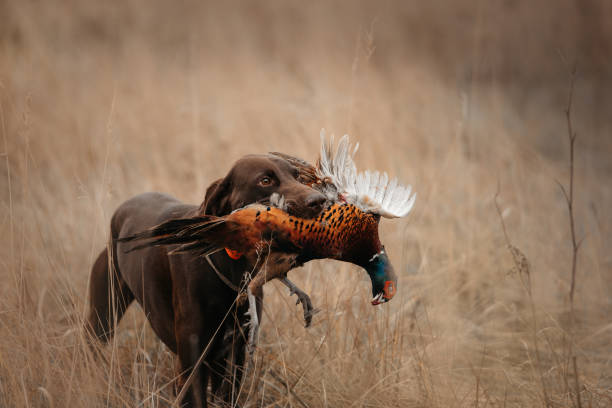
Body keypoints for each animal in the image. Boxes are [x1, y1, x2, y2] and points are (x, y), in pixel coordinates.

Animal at [85, 154, 328, 408]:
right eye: (265, 180)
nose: (319, 201)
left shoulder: (234, 358)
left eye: (297, 176)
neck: (231, 269)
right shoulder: (193, 362)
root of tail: (123, 208)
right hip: (102, 318)